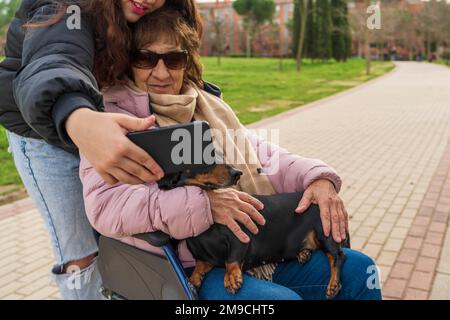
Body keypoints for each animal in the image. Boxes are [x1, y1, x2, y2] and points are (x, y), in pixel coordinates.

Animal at [158, 164, 352, 298]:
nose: (236, 173)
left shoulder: (239, 238)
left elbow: (231, 260)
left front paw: (232, 277)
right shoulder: (206, 257)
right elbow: (199, 266)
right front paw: (193, 279)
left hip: (325, 231)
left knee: (338, 256)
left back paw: (333, 284)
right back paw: (303, 253)